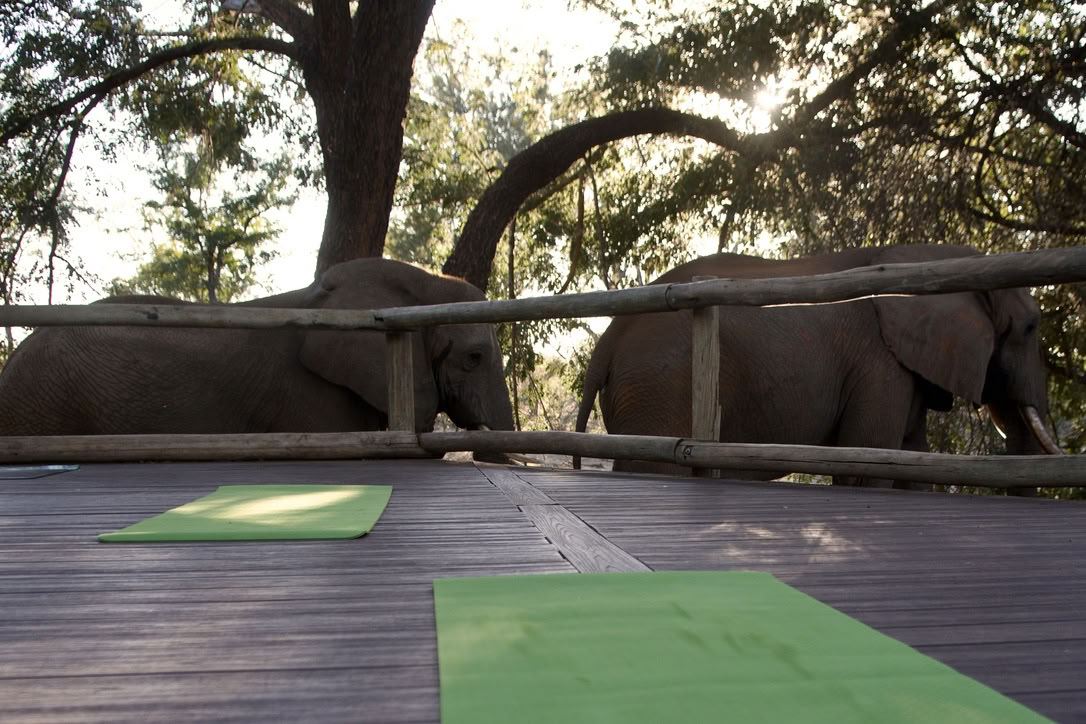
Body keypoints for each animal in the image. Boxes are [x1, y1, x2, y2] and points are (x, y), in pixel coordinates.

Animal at [575, 244, 1061, 487]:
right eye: (1031, 327)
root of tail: (609, 338)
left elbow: (912, 458)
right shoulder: (878, 362)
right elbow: (867, 461)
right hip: (659, 384)